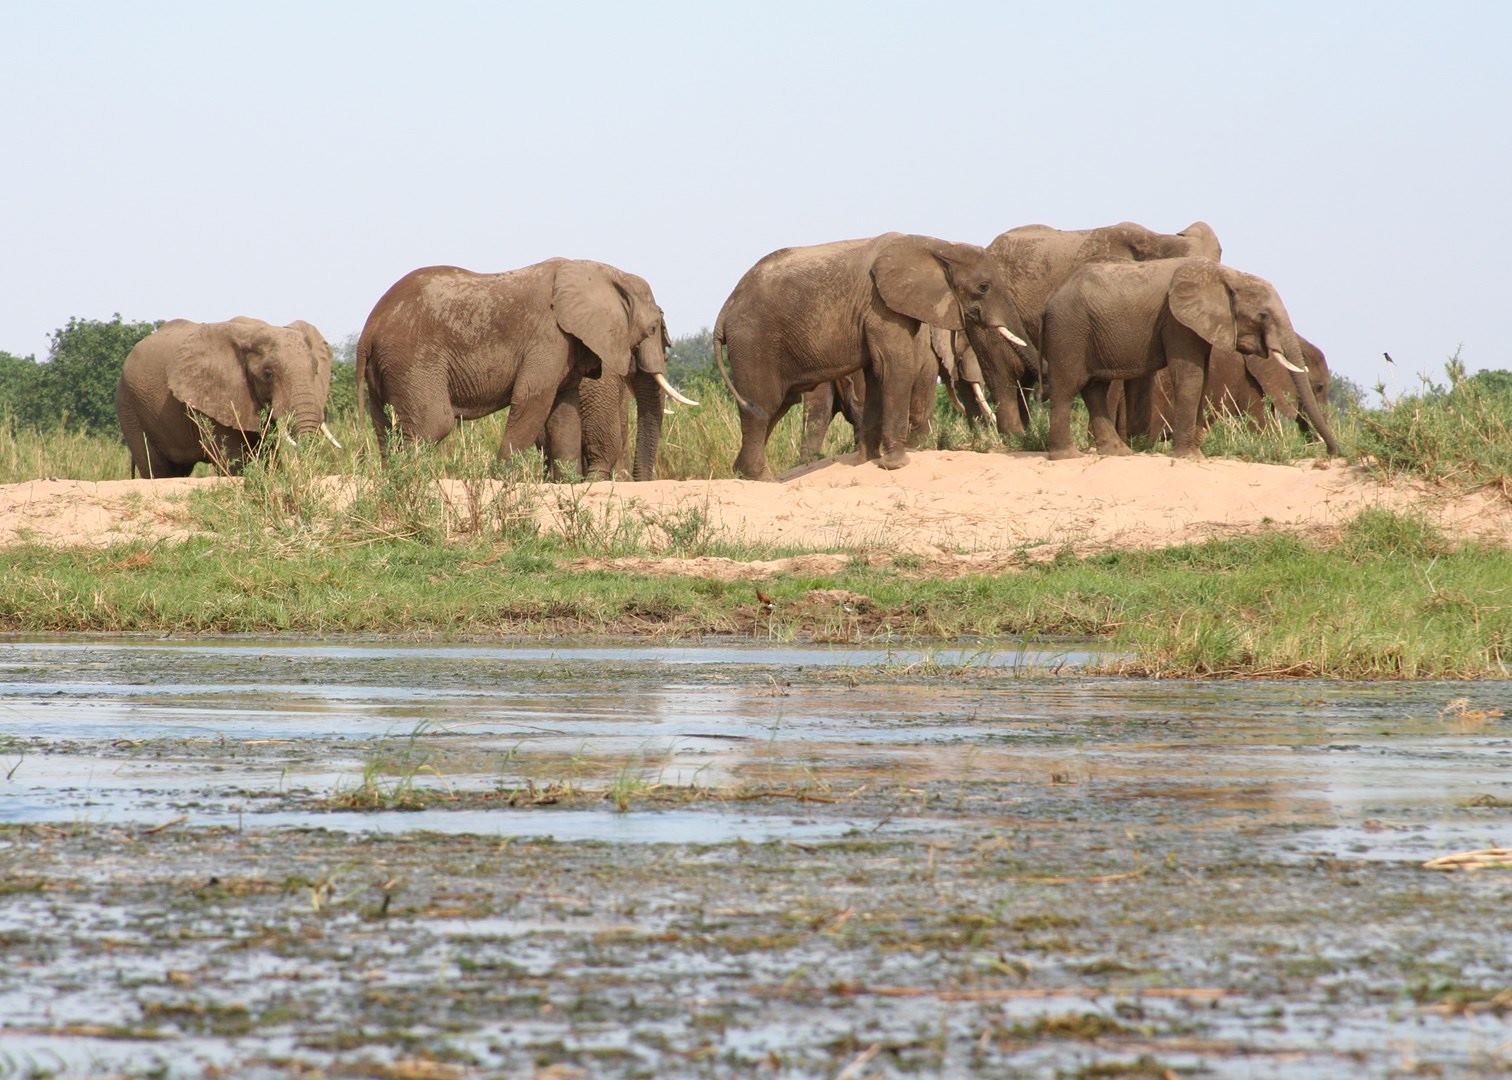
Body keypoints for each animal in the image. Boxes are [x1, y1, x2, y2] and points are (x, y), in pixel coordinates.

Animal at [118, 313, 343, 477]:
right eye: (268, 374)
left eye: (315, 369)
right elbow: (233, 458)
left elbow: (267, 451)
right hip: (129, 405)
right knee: (157, 469)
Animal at [356, 258, 689, 468]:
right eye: (652, 329)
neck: (604, 273)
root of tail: (369, 329)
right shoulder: (548, 337)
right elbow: (532, 399)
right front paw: (501, 477)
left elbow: (563, 411)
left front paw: (567, 483)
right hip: (413, 359)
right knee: (433, 424)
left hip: (388, 368)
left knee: (385, 428)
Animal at [713, 232, 1034, 481]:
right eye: (984, 287)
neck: (936, 245)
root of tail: (726, 308)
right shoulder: (882, 307)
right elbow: (894, 368)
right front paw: (897, 465)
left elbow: (877, 374)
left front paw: (866, 461)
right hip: (754, 340)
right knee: (762, 405)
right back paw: (763, 478)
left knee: (777, 405)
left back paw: (745, 474)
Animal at [1046, 257, 1342, 459]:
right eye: (1263, 315)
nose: (1333, 452)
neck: (1228, 275)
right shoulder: (1177, 321)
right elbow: (1191, 374)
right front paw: (1188, 456)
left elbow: (1203, 374)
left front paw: (1196, 454)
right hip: (1069, 330)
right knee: (1067, 387)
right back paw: (1067, 456)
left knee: (1095, 389)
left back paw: (1120, 453)